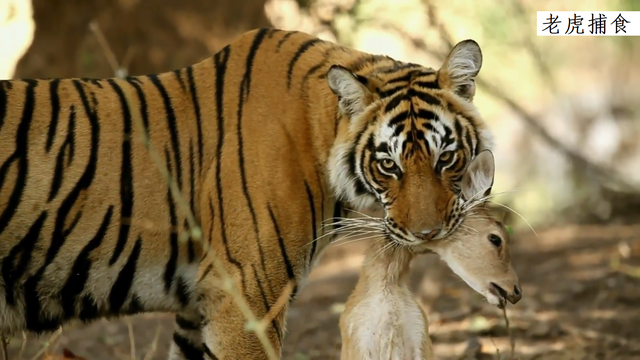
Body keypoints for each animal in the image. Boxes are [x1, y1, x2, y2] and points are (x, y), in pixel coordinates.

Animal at [0, 28, 492, 360]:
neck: (319, 132)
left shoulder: (198, 307)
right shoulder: (247, 297)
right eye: (389, 165)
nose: (427, 235)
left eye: (446, 157)